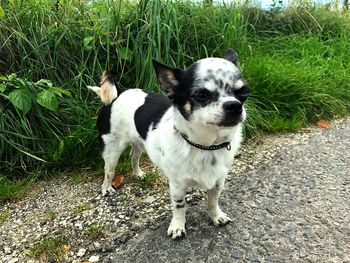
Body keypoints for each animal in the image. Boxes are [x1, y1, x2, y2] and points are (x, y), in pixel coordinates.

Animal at [87, 48, 249, 240]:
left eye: (244, 92)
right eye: (201, 95)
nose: (234, 105)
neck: (206, 146)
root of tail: (120, 91)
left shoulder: (218, 181)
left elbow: (213, 201)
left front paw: (216, 216)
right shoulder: (177, 185)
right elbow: (179, 206)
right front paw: (178, 226)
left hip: (140, 143)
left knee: (134, 156)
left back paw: (138, 173)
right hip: (112, 149)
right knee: (109, 170)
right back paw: (106, 189)